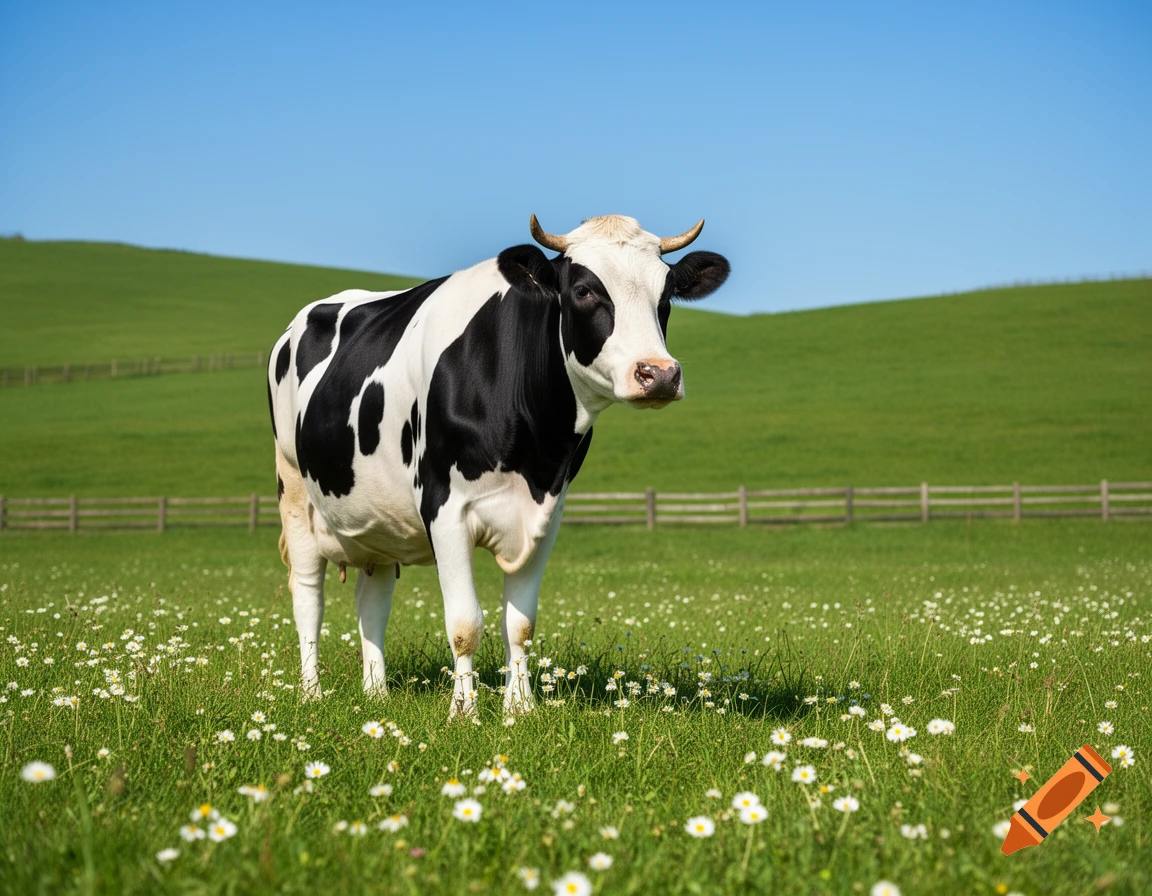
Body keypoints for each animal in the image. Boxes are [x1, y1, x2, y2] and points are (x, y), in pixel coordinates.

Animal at [266, 214, 730, 717]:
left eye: (666, 294)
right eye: (584, 290)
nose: (658, 374)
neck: (534, 449)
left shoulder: (547, 514)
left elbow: (520, 624)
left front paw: (520, 708)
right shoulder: (444, 508)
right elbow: (465, 624)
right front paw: (464, 713)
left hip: (377, 520)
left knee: (372, 600)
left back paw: (377, 693)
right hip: (294, 491)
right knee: (308, 595)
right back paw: (311, 692)